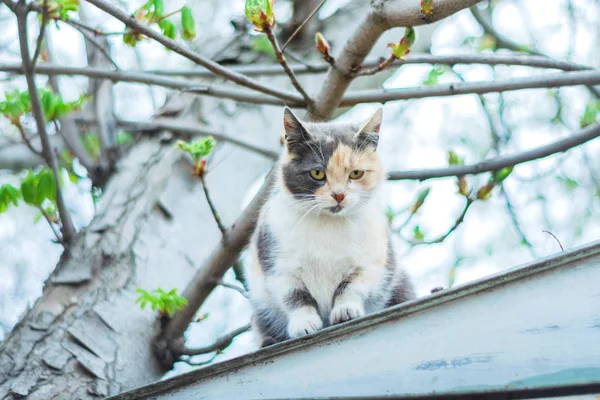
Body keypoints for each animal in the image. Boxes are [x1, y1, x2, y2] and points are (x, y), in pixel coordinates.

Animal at [244, 107, 412, 346]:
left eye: (356, 173)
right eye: (317, 173)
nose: (339, 195)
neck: (327, 225)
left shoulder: (373, 261)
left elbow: (351, 285)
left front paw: (345, 310)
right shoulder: (275, 260)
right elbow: (294, 296)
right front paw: (304, 323)